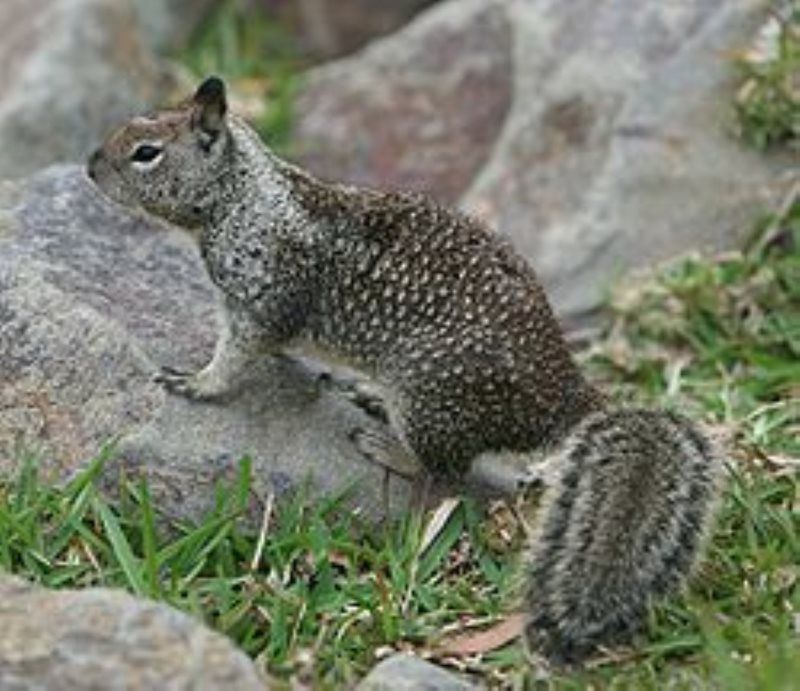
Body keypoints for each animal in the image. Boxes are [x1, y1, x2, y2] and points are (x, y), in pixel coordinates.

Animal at [86, 77, 723, 665]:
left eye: (145, 152)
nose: (90, 167)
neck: (245, 199)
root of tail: (560, 393)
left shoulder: (262, 302)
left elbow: (237, 358)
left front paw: (196, 382)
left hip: (429, 398)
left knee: (446, 471)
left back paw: (385, 446)